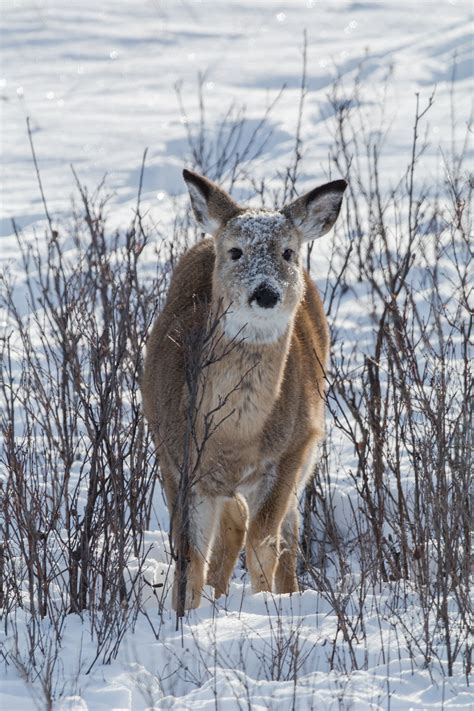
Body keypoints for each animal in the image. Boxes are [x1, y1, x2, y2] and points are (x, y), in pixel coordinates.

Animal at [142, 168, 348, 612]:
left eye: (288, 252)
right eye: (236, 251)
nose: (266, 292)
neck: (234, 437)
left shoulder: (291, 451)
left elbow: (263, 543)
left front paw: (265, 607)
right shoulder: (175, 458)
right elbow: (189, 555)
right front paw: (184, 614)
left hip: (306, 451)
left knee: (285, 531)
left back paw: (285, 593)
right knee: (233, 524)